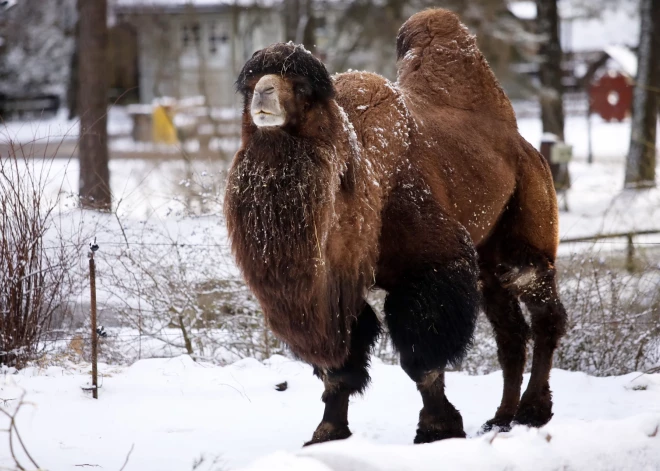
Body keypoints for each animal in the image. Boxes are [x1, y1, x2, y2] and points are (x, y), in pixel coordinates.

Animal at [226, 8, 568, 446]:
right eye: (249, 84)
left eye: (301, 87)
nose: (263, 95)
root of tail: (524, 145)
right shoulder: (334, 288)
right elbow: (339, 367)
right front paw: (327, 432)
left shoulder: (430, 266)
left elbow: (423, 360)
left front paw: (437, 428)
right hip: (490, 262)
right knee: (510, 332)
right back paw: (501, 419)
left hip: (529, 227)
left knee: (542, 309)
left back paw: (532, 412)